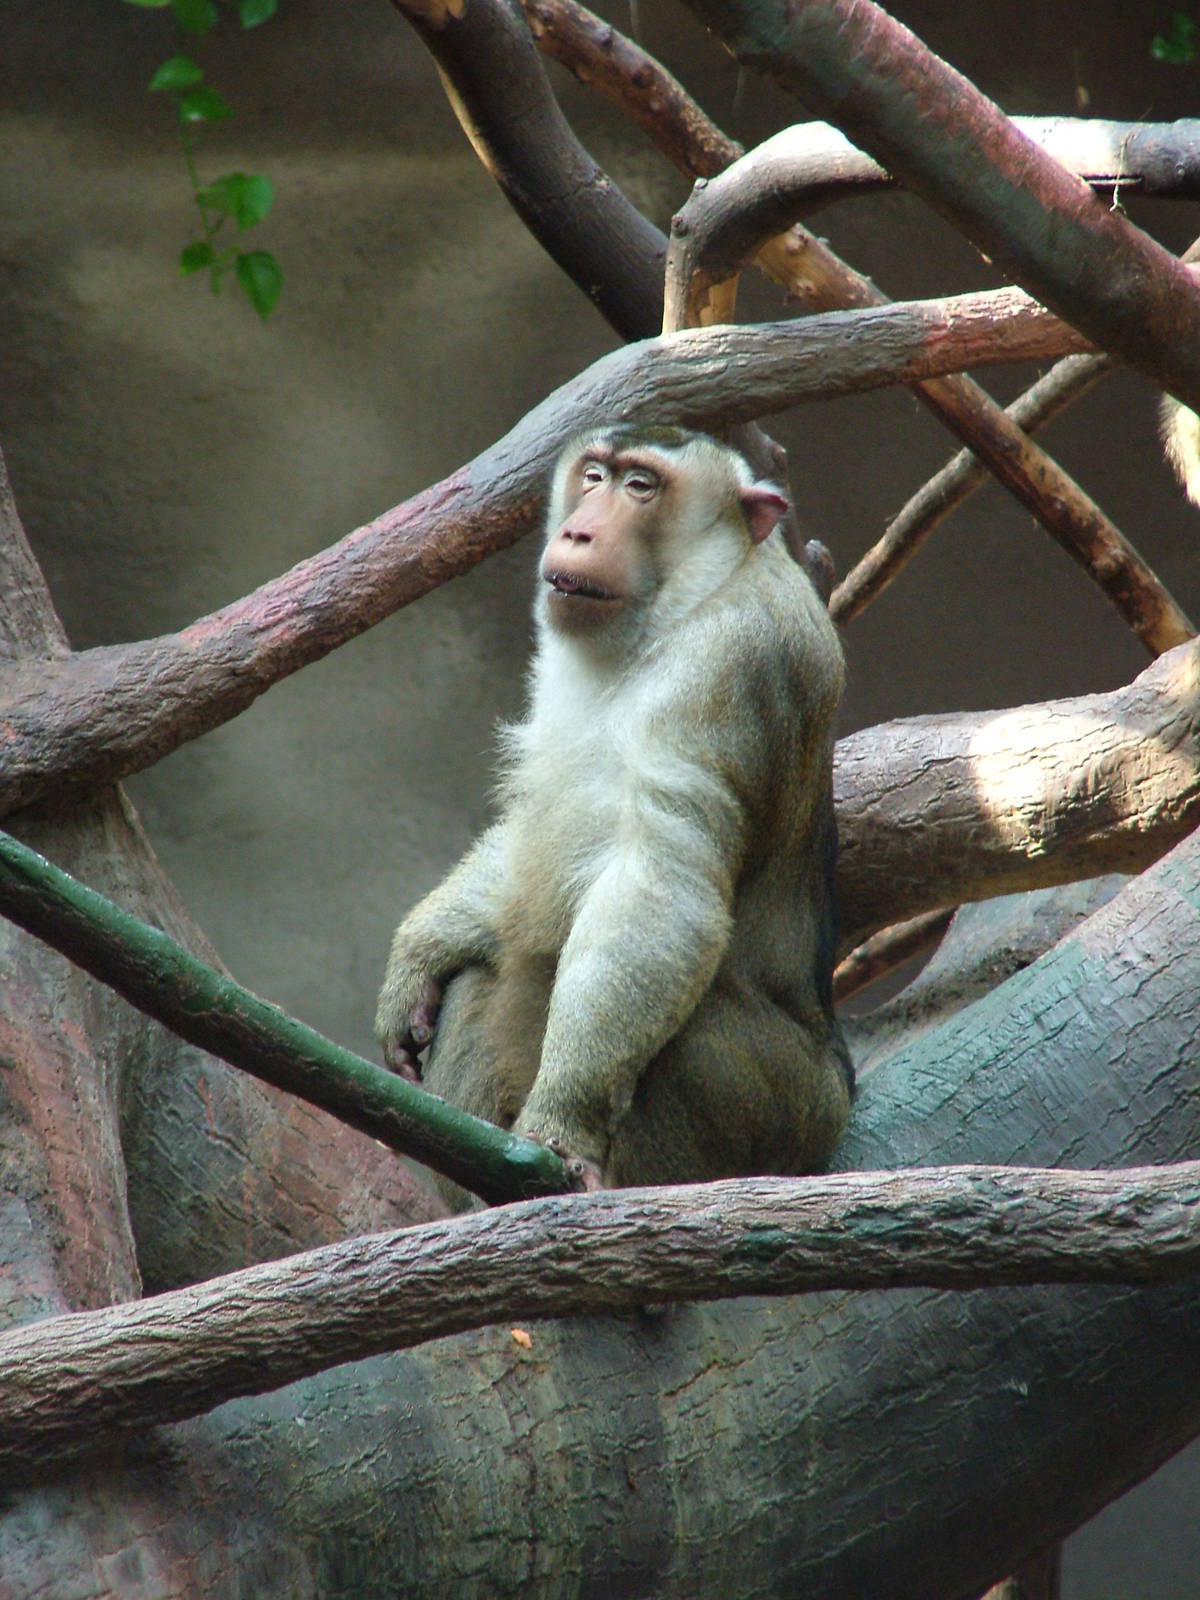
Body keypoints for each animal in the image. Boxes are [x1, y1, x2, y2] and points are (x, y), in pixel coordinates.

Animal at [376, 425, 853, 1203]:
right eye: (594, 476)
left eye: (641, 488)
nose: (578, 529)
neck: (688, 598)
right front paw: (420, 949)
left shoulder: (723, 664)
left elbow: (658, 879)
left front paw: (563, 1120)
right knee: (478, 978)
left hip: (785, 1107)